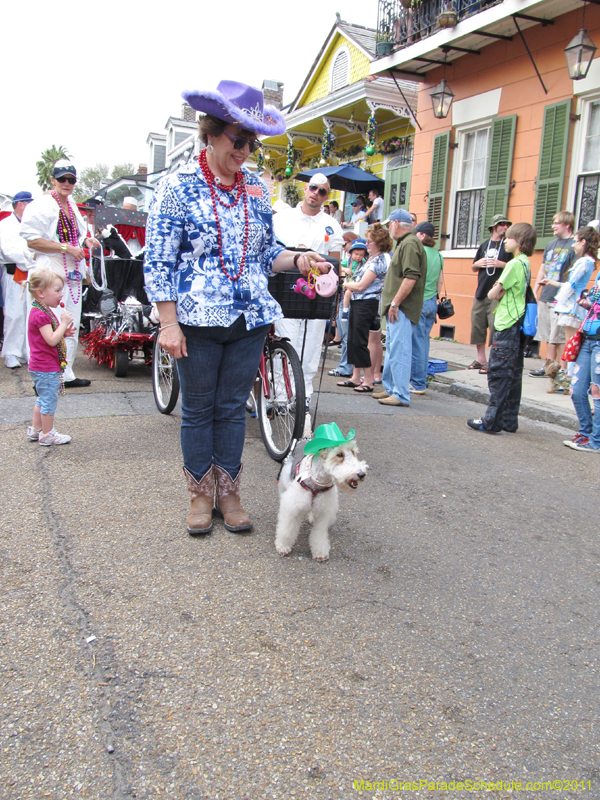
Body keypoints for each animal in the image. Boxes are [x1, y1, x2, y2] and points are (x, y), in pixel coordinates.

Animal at [276, 424, 368, 564]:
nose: (361, 474)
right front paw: (283, 546)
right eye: (339, 454)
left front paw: (320, 553)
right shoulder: (292, 507)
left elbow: (319, 535)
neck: (317, 480)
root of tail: (305, 438)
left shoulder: (324, 511)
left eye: (353, 452)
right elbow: (287, 529)